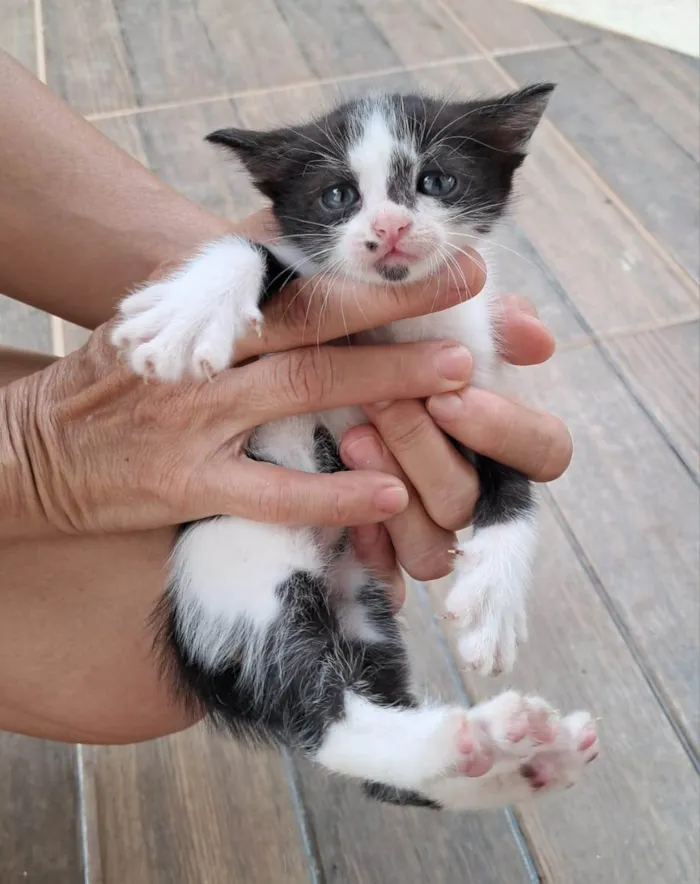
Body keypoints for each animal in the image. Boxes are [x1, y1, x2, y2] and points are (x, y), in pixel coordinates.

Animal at [112, 86, 600, 812]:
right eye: (338, 196)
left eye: (436, 182)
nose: (391, 227)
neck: (395, 323)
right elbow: (257, 253)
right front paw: (188, 310)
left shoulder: (466, 387)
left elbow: (511, 471)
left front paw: (495, 592)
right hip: (239, 566)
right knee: (319, 713)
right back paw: (489, 747)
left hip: (361, 609)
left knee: (356, 730)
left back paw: (511, 759)